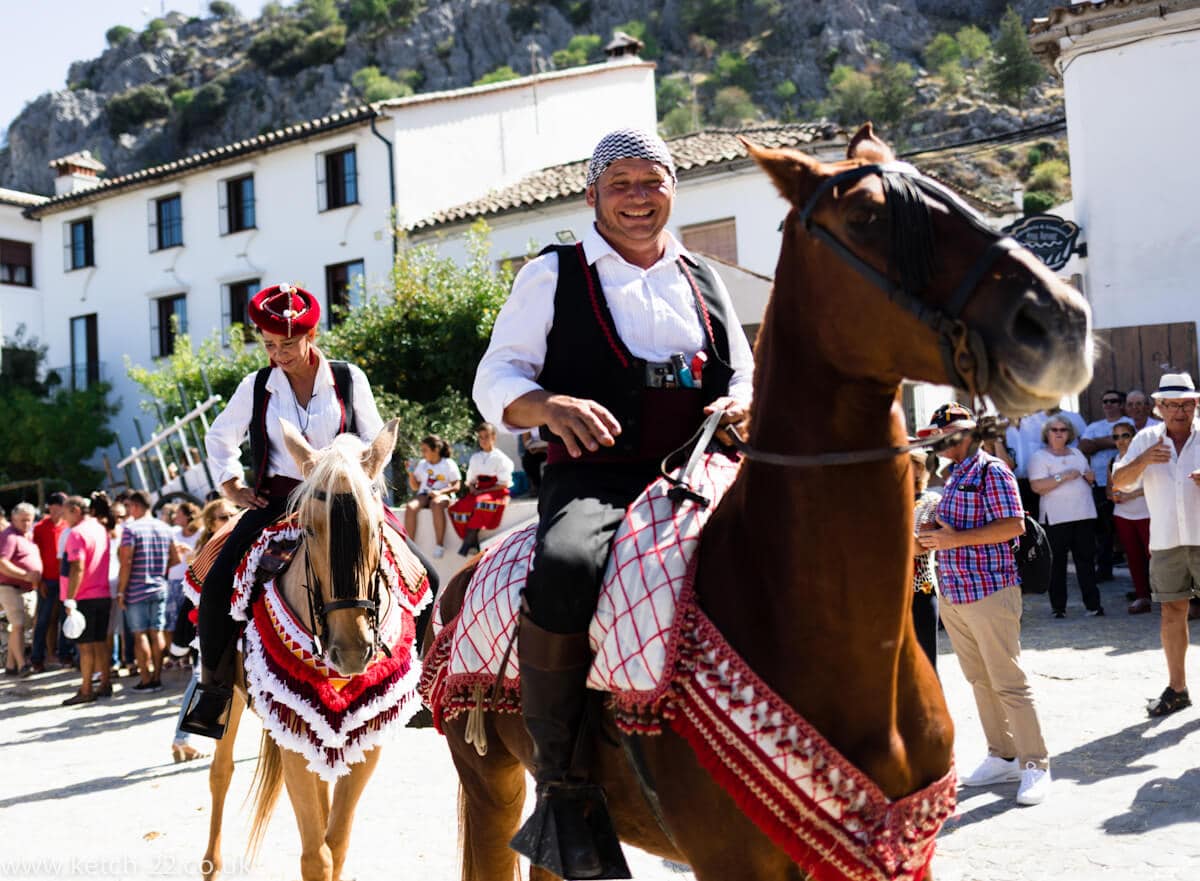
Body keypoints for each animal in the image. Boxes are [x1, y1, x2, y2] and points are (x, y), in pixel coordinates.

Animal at [200, 422, 398, 881]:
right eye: (307, 530)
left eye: (377, 528)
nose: (351, 651)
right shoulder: (292, 740)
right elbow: (316, 855)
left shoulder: (368, 739)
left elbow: (336, 843)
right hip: (228, 695)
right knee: (220, 773)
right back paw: (211, 865)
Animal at [436, 126, 1094, 881]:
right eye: (865, 216)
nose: (1058, 321)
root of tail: (463, 571)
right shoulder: (732, 862)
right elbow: (503, 372)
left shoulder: (898, 858)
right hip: (490, 781)